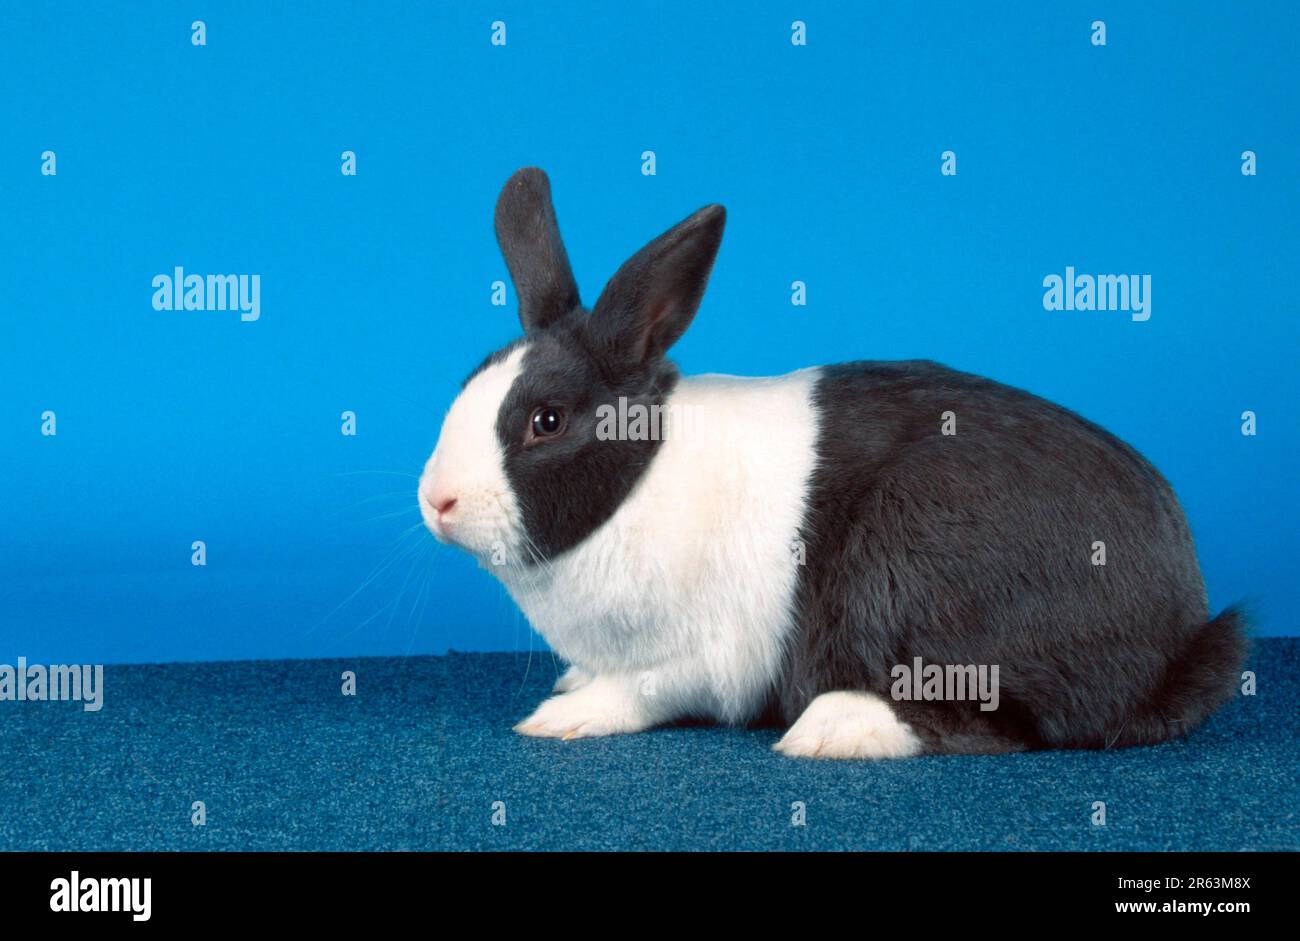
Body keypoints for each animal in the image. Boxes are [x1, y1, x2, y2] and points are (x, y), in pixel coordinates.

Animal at [417, 167, 1246, 758]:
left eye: (546, 421)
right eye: (468, 379)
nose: (436, 501)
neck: (636, 486)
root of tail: (1180, 636)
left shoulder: (698, 657)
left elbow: (640, 692)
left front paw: (564, 714)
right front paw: (572, 681)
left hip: (913, 567)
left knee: (999, 723)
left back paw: (831, 729)